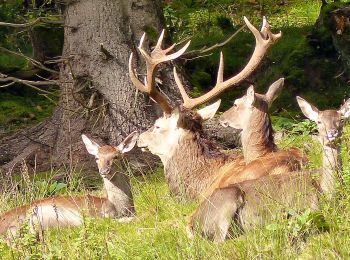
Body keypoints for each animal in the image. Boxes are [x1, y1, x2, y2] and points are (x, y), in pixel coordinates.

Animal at [0, 132, 139, 244]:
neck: (117, 207)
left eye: (116, 156)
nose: (104, 171)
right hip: (24, 221)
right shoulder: (94, 216)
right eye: (97, 157)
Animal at [189, 97, 350, 242]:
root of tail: (195, 221)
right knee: (219, 242)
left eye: (341, 119)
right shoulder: (306, 207)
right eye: (319, 121)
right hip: (226, 203)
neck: (325, 191)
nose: (332, 132)